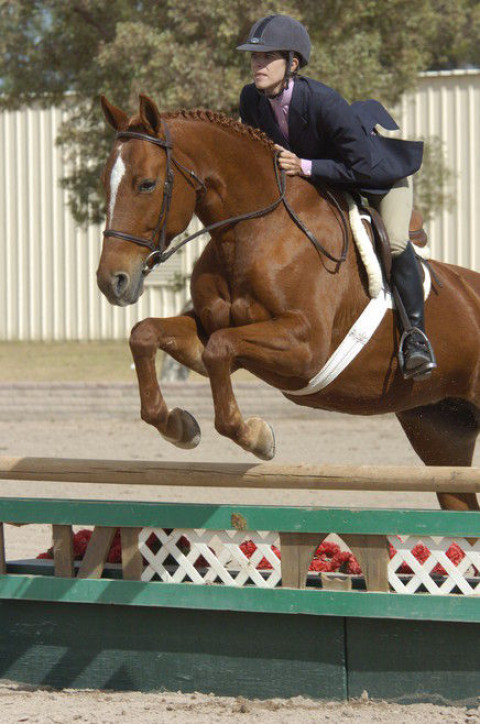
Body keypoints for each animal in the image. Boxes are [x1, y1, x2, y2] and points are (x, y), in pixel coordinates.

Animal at [96, 94, 480, 516]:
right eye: (104, 183)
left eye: (146, 184)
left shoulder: (306, 349)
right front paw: (178, 426)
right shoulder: (209, 330)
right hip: (439, 427)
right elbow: (147, 334)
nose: (112, 281)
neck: (252, 233)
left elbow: (220, 350)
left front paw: (257, 437)